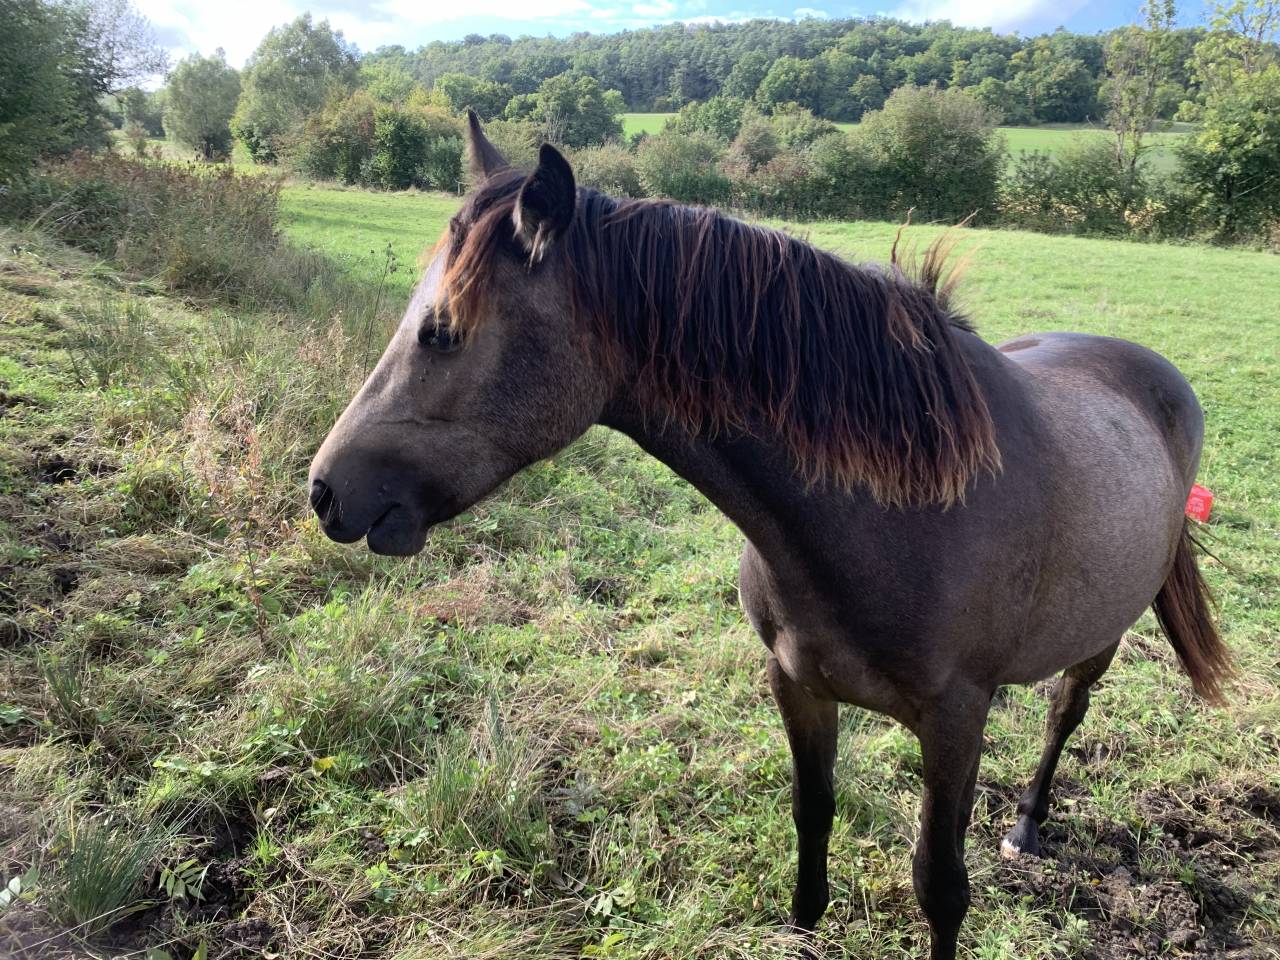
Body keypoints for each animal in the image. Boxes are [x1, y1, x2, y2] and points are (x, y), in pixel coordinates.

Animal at [307, 114, 1231, 959]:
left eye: (441, 331)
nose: (324, 491)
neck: (891, 515)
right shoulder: (797, 683)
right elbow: (811, 811)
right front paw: (803, 924)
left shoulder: (955, 720)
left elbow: (940, 883)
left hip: (1101, 636)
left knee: (1064, 717)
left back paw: (1028, 824)